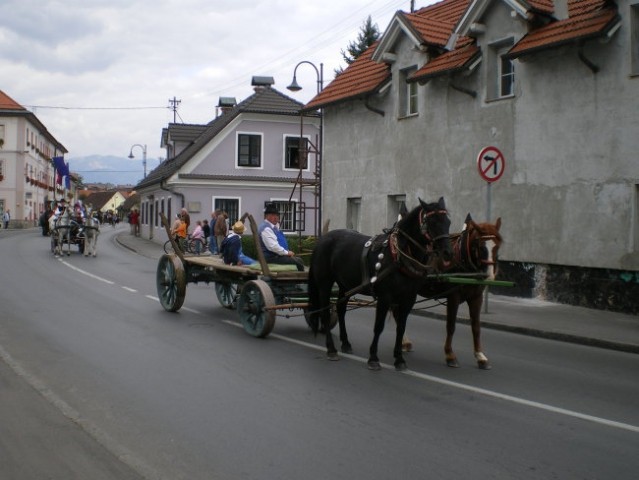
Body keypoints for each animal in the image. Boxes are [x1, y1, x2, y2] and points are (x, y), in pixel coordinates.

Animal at [308, 199, 452, 372]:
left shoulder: (408, 299)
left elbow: (401, 327)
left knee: (341, 309)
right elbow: (379, 326)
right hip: (325, 284)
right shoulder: (385, 297)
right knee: (324, 312)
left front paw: (399, 359)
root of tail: (322, 239)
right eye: (432, 222)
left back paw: (346, 343)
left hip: (345, 285)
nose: (447, 253)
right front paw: (373, 358)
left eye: (448, 222)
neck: (399, 256)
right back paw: (331, 349)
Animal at [420, 215, 504, 372]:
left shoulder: (477, 298)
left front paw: (480, 357)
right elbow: (451, 326)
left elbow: (476, 327)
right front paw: (450, 355)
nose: (489, 276)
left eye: (497, 247)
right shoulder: (453, 297)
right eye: (481, 247)